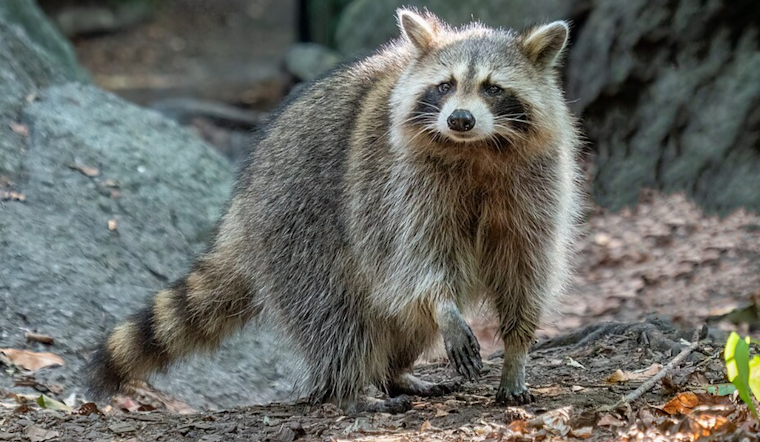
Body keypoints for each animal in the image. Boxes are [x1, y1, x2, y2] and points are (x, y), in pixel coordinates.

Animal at [86, 8, 581, 412]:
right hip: (297, 223)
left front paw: (517, 351)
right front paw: (445, 308)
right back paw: (350, 388)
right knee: (335, 311)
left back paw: (395, 372)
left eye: (493, 88)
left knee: (400, 318)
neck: (477, 149)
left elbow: (526, 266)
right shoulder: (398, 185)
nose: (460, 119)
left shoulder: (536, 184)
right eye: (445, 86)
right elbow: (418, 258)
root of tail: (242, 207)